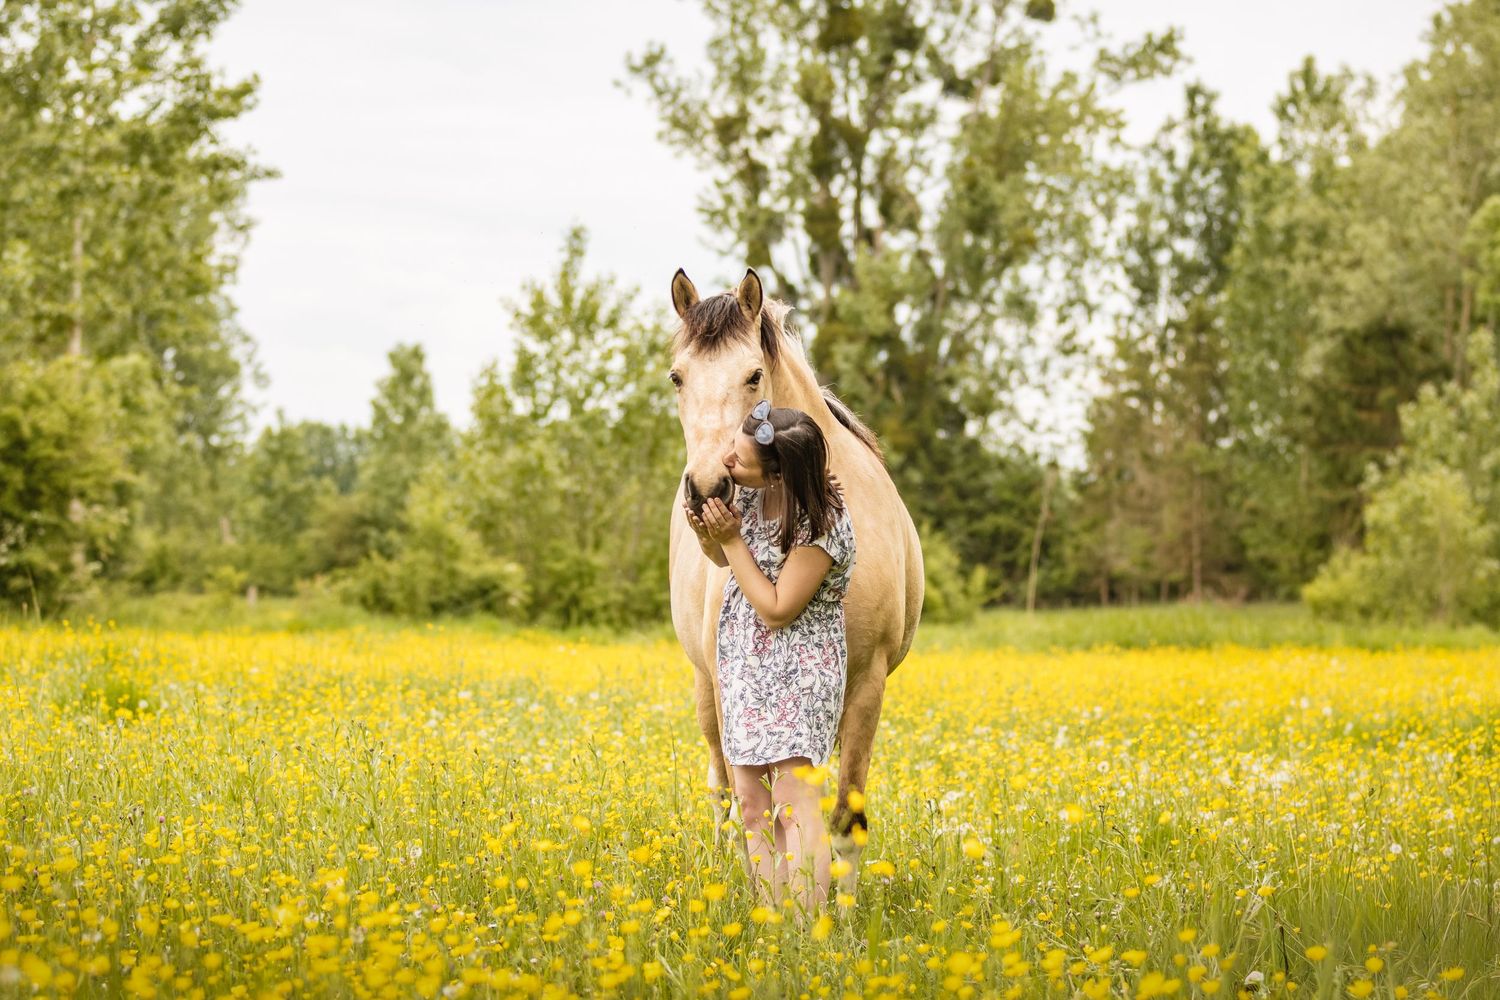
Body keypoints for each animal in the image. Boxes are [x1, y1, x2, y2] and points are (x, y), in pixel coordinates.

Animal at [665, 266, 924, 895]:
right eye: (678, 377)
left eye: (753, 375)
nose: (706, 489)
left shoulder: (868, 685)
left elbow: (844, 817)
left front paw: (841, 915)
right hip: (706, 689)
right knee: (723, 792)